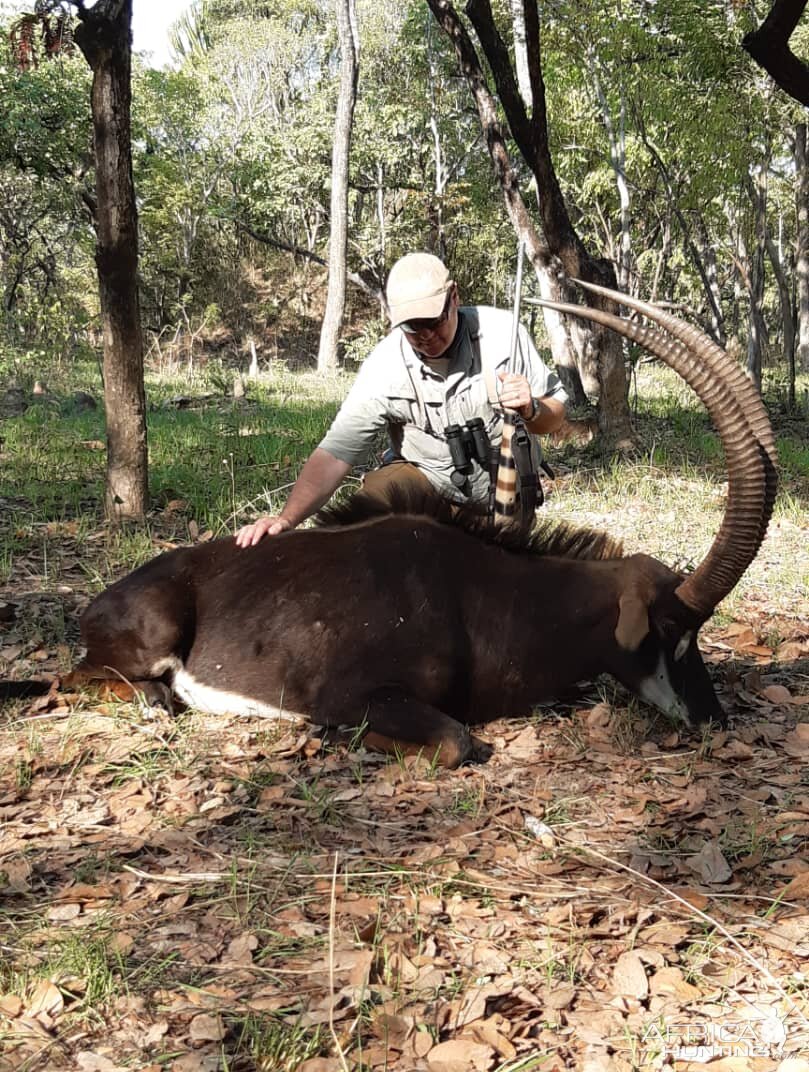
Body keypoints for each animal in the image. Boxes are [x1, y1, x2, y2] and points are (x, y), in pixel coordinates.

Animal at [3, 285, 780, 767]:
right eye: (673, 631)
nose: (714, 721)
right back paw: (156, 700)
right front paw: (321, 738)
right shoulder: (362, 695)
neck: (487, 596)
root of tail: (99, 600)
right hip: (147, 638)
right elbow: (456, 743)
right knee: (75, 680)